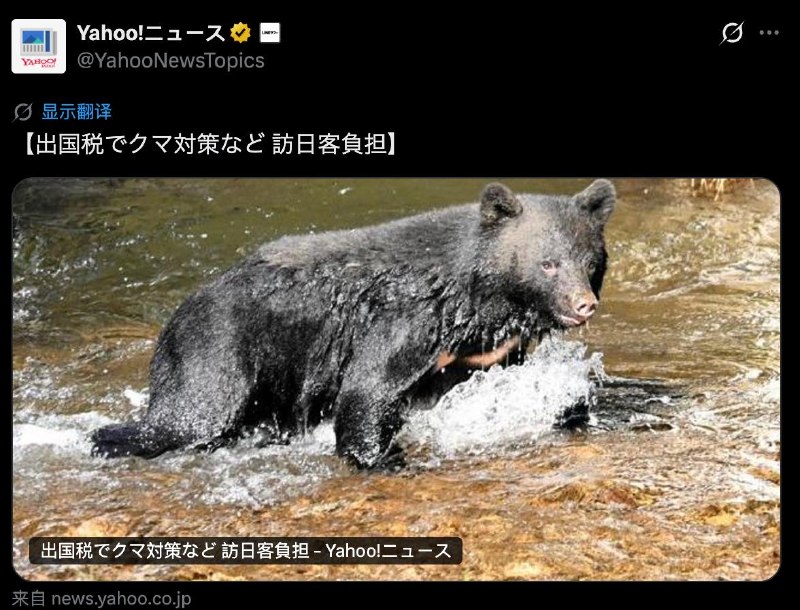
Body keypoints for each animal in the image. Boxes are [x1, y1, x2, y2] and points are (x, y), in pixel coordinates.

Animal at [91, 180, 615, 469]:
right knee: (187, 418)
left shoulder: (479, 349)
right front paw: (381, 458)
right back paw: (109, 438)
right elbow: (370, 388)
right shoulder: (409, 318)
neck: (483, 296)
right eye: (548, 264)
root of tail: (178, 313)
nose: (584, 305)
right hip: (216, 350)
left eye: (590, 262)